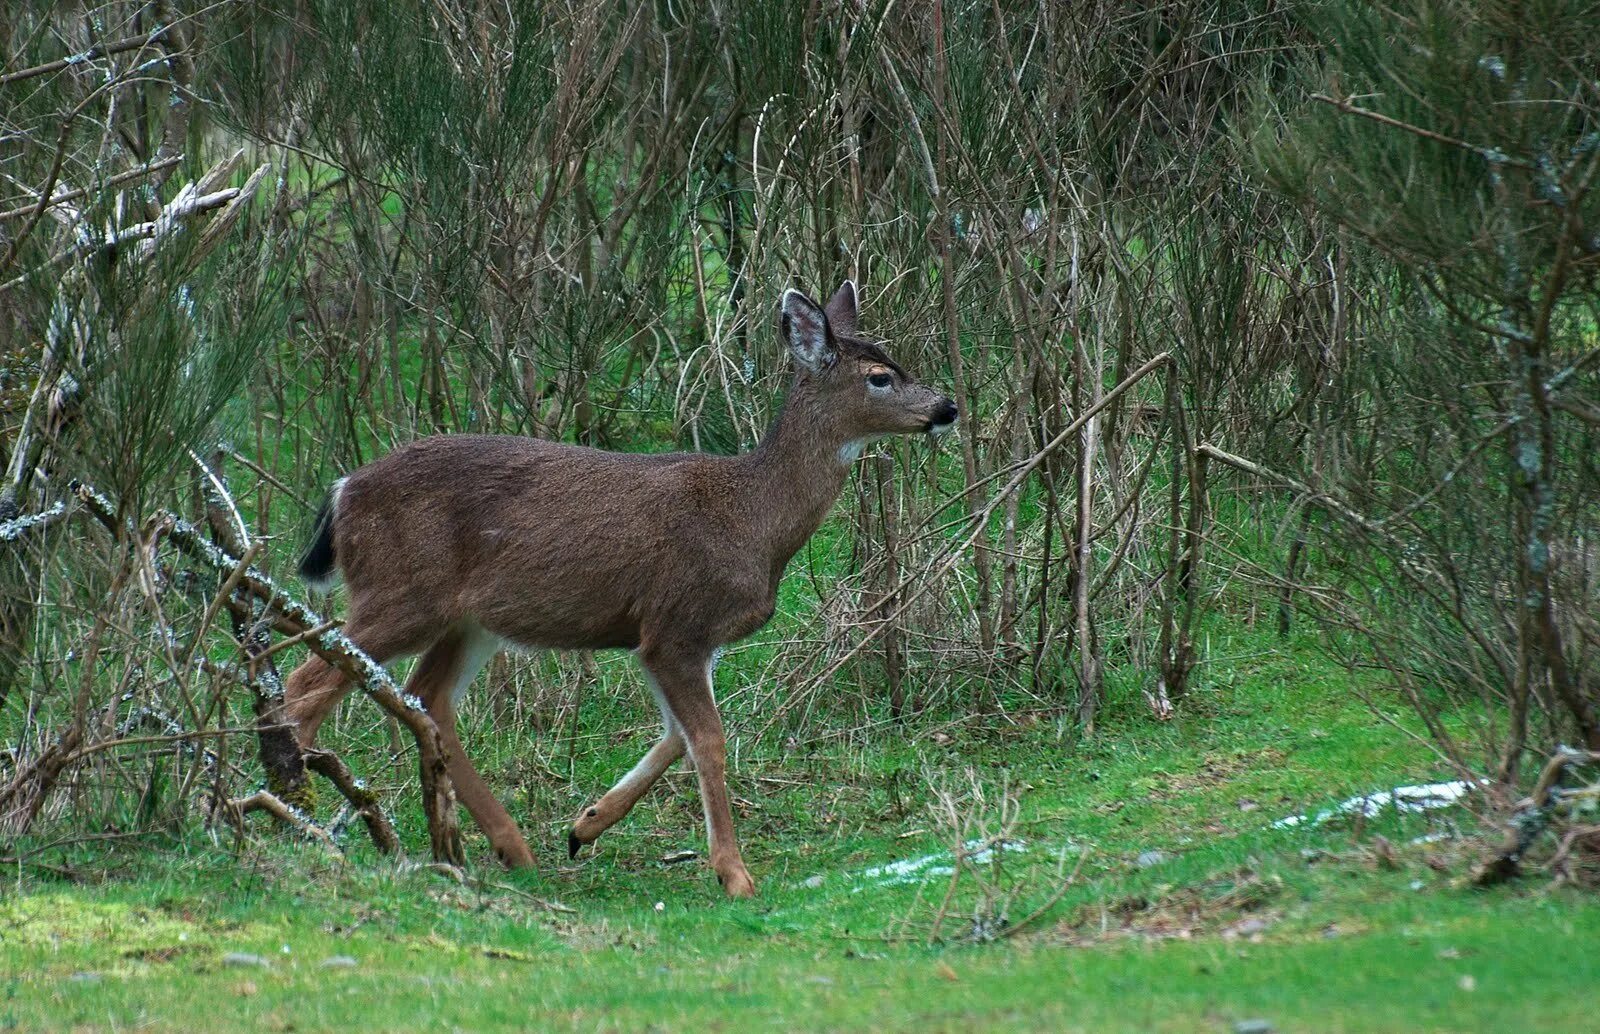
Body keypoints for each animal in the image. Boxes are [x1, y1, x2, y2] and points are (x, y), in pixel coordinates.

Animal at [280, 283, 953, 896]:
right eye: (878, 377)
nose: (946, 407)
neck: (753, 518)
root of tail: (343, 491)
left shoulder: (675, 638)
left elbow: (678, 738)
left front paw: (585, 825)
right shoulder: (677, 623)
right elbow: (708, 740)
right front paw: (735, 875)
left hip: (468, 619)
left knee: (428, 696)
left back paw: (511, 847)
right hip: (401, 592)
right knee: (304, 683)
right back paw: (297, 819)